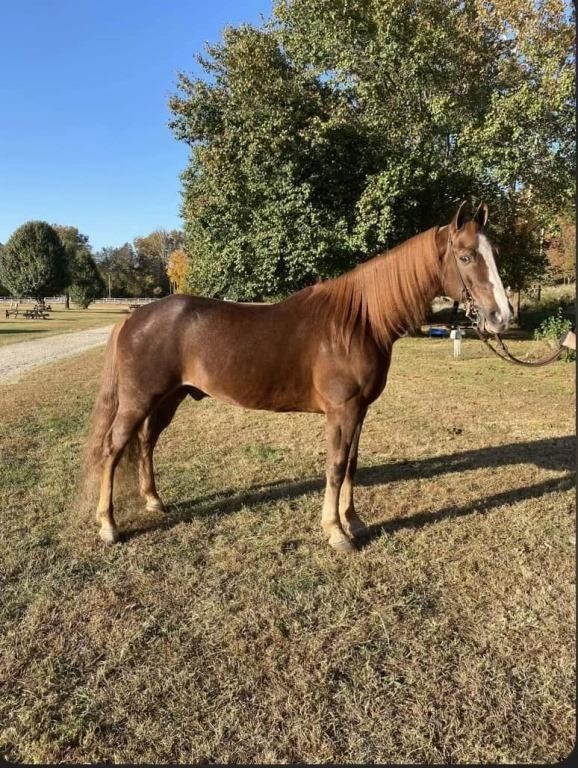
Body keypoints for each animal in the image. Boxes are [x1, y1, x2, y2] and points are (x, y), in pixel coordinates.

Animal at [84, 201, 508, 552]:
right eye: (466, 256)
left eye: (495, 254)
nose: (501, 316)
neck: (357, 323)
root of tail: (133, 318)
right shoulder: (342, 410)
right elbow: (335, 466)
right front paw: (336, 532)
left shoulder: (359, 411)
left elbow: (352, 464)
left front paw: (354, 522)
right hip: (138, 400)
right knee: (113, 449)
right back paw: (108, 526)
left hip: (168, 399)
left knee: (146, 442)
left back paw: (154, 501)